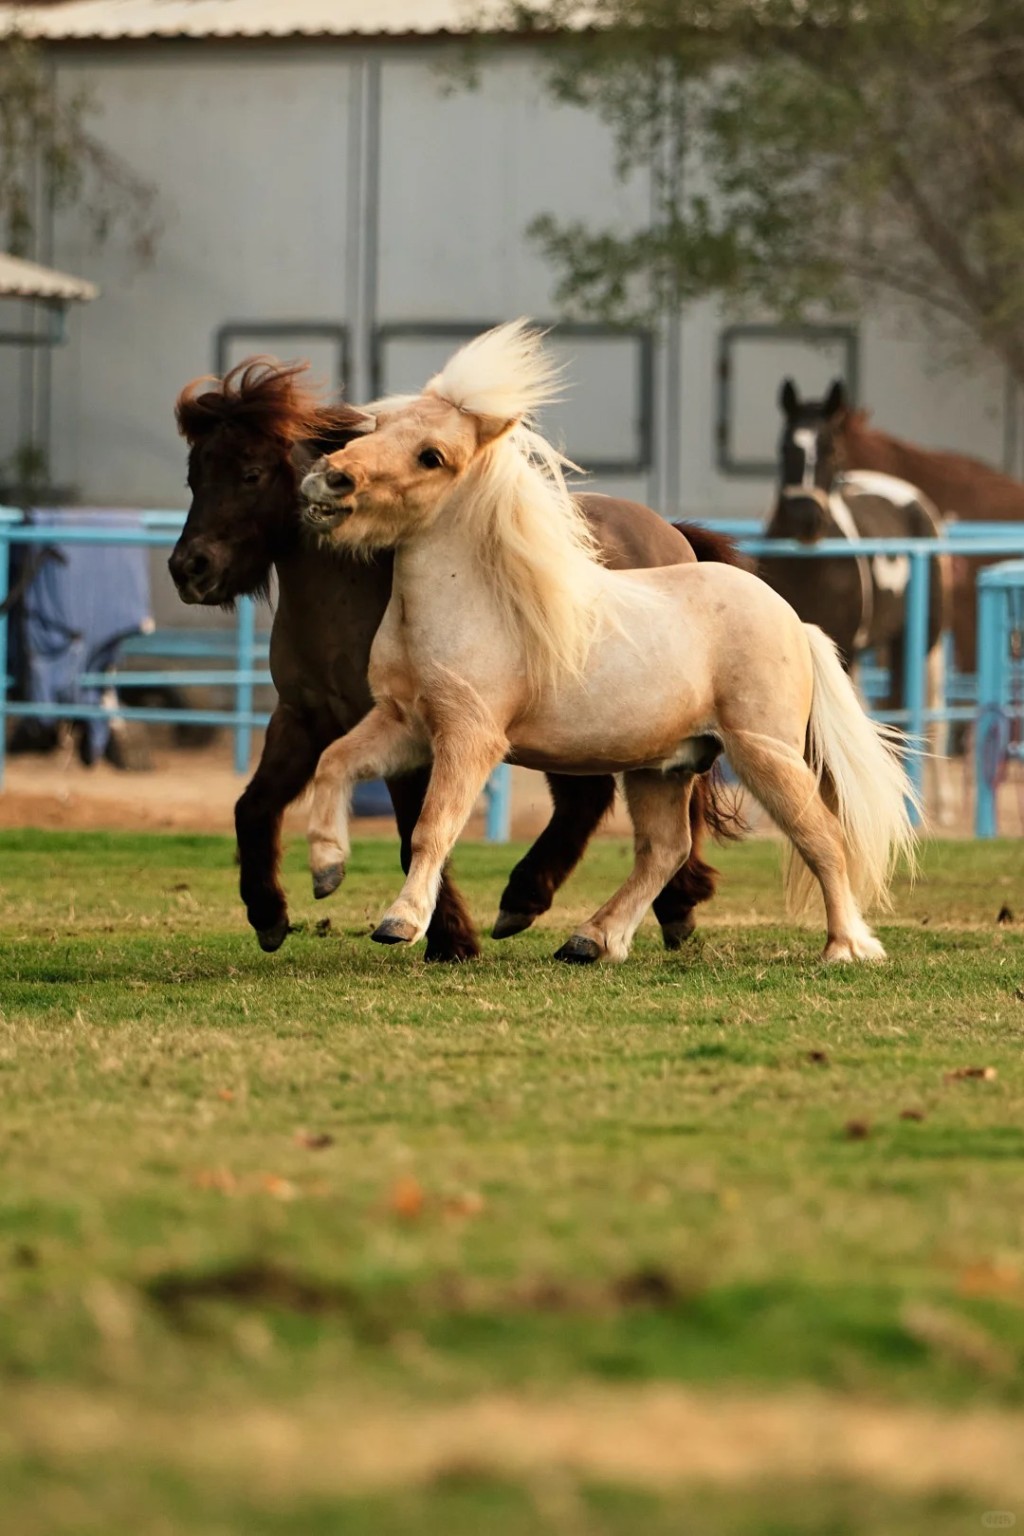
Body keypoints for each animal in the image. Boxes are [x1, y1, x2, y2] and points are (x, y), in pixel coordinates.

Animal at [170, 357, 744, 960]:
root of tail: (672, 534)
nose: (189, 568)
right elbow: (253, 806)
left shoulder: (420, 733)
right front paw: (268, 913)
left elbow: (412, 830)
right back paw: (542, 900)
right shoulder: (304, 718)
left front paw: (446, 936)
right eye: (194, 476)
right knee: (591, 801)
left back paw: (652, 906)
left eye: (251, 473)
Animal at [299, 322, 916, 966]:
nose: (328, 479)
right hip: (664, 768)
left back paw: (846, 947)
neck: (476, 605)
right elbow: (333, 762)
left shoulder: (469, 738)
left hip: (765, 755)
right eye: (379, 427)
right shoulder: (404, 725)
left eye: (432, 456)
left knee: (821, 838)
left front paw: (400, 922)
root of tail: (796, 623)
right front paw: (327, 870)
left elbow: (433, 828)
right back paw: (592, 939)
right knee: (664, 850)